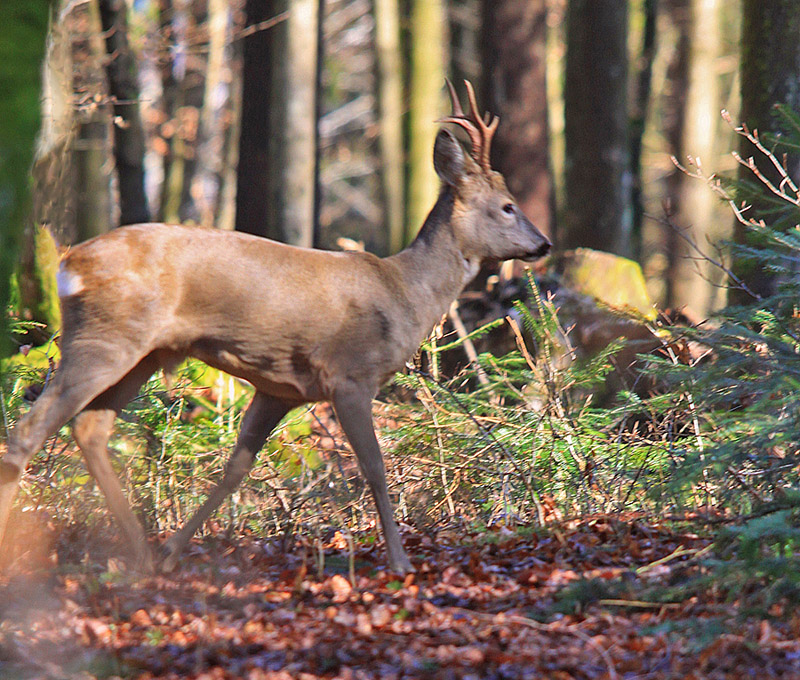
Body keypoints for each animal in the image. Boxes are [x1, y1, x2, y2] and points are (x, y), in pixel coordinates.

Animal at [0, 82, 552, 576]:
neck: (403, 292)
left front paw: (174, 550)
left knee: (89, 427)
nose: (543, 243)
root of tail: (68, 263)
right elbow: (373, 468)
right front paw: (400, 562)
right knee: (28, 430)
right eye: (507, 205)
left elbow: (235, 468)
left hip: (143, 352)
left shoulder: (280, 388)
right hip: (106, 336)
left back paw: (141, 554)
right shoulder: (350, 374)